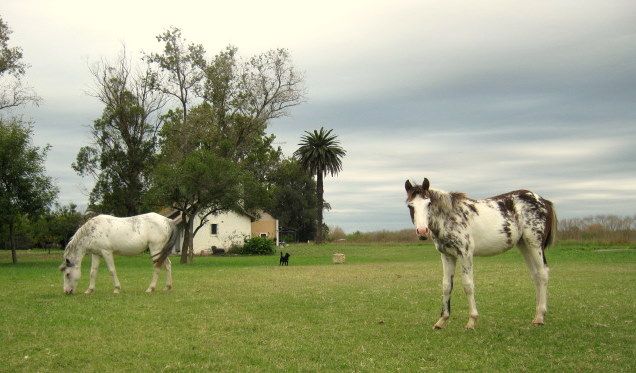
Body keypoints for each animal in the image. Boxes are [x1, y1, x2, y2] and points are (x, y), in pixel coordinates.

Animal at [404, 179, 556, 326]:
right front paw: (442, 320)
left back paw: (540, 316)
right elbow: (446, 286)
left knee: (543, 274)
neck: (450, 217)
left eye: (428, 204)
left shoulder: (465, 254)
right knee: (535, 276)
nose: (422, 231)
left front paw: (472, 320)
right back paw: (537, 315)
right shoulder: (447, 256)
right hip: (524, 246)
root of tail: (543, 201)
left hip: (535, 244)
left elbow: (468, 285)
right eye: (410, 206)